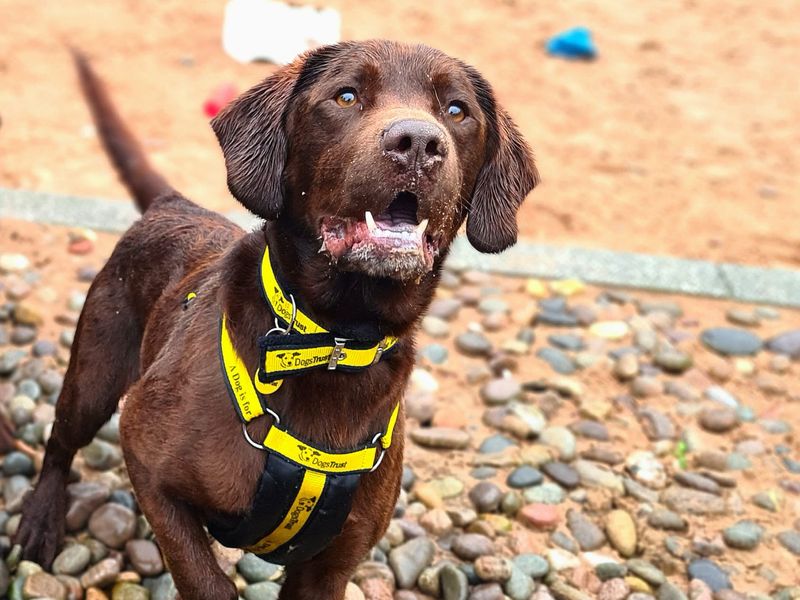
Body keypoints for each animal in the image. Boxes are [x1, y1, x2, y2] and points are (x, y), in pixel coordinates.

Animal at [14, 42, 536, 600]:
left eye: (457, 111)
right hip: (93, 377)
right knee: (60, 442)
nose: (417, 142)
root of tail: (173, 204)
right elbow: (205, 580)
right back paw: (40, 521)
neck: (332, 342)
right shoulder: (148, 462)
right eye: (346, 95)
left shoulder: (329, 566)